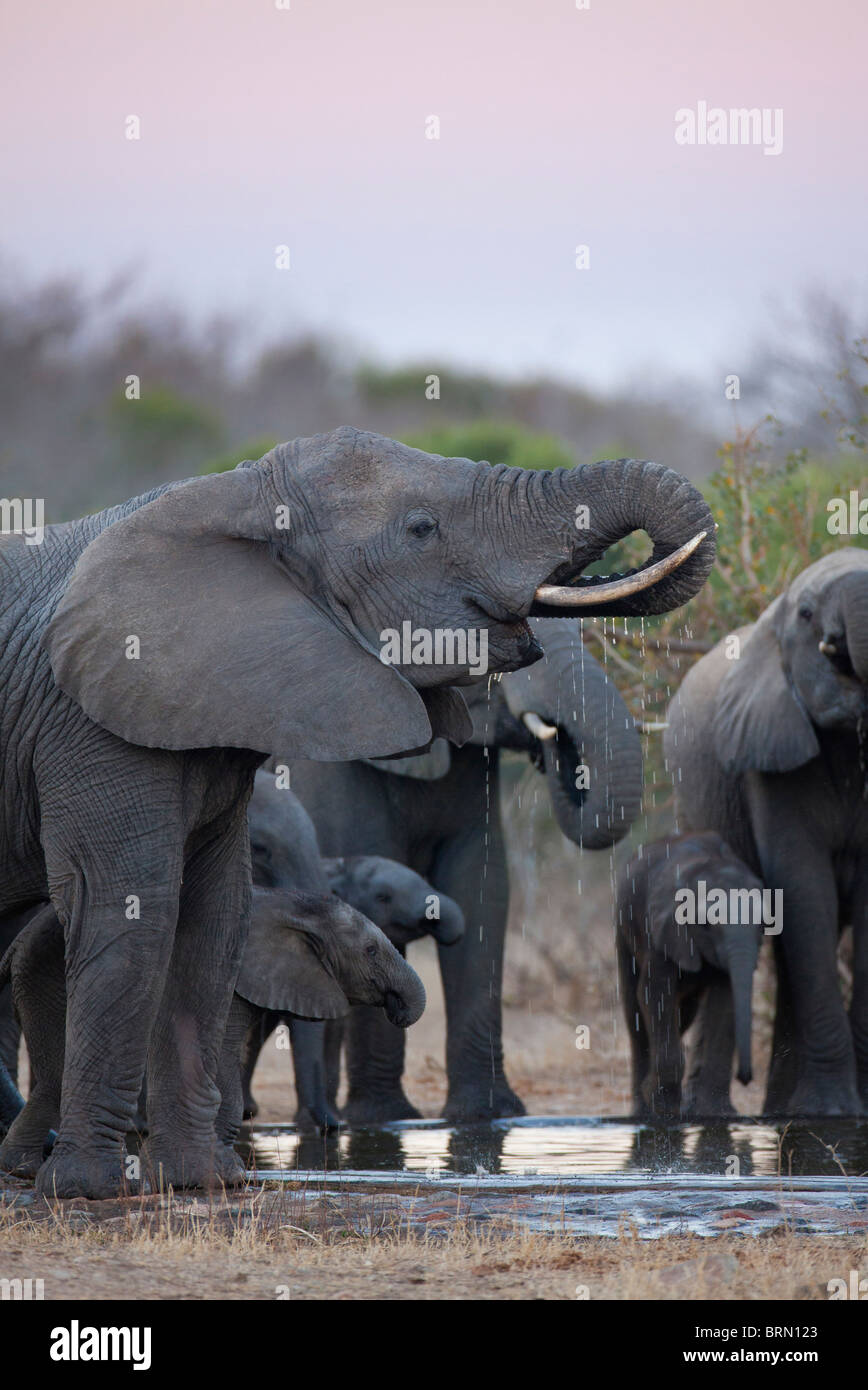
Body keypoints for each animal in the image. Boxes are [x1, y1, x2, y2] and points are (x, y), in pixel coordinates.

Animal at [0, 889, 422, 1173]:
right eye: (370, 951)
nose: (397, 1008)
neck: (294, 906)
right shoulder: (237, 976)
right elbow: (222, 1058)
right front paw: (225, 1167)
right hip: (48, 980)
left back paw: (25, 1167)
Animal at [617, 828, 767, 1123]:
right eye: (706, 924)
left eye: (763, 924)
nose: (746, 1078)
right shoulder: (661, 930)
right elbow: (654, 994)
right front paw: (664, 1108)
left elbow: (725, 1001)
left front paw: (719, 1115)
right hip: (623, 924)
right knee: (635, 1016)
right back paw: (643, 1111)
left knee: (683, 1013)